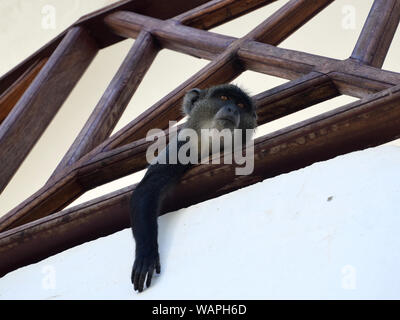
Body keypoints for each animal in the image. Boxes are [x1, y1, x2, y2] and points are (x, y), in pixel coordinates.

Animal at [130, 83, 258, 292]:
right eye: (223, 98)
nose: (232, 109)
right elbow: (148, 188)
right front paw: (146, 253)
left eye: (240, 105)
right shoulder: (181, 147)